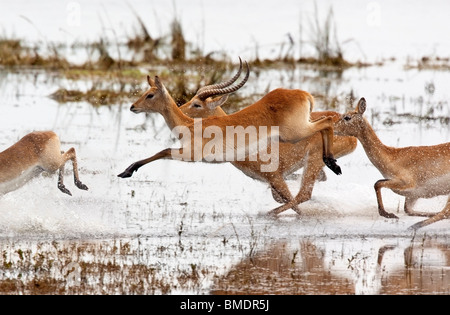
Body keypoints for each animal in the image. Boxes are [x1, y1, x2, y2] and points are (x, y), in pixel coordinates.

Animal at [178, 64, 356, 217]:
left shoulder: (274, 177)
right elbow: (283, 196)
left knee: (304, 194)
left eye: (197, 104)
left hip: (311, 156)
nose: (179, 110)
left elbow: (290, 200)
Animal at [334, 99, 450, 230]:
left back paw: (413, 226)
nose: (332, 127)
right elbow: (408, 210)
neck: (392, 156)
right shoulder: (412, 196)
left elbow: (377, 183)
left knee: (445, 212)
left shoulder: (406, 183)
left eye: (347, 117)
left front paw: (388, 214)